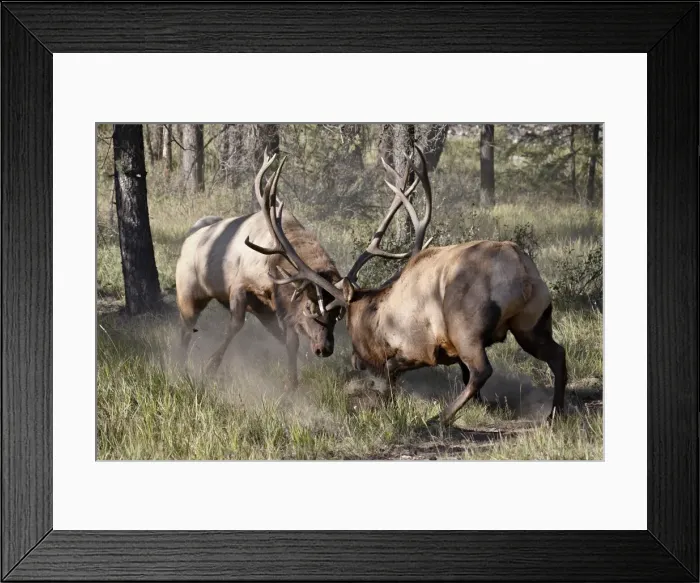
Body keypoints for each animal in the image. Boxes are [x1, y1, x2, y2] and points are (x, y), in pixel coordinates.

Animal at [174, 151, 345, 388]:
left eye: (338, 315)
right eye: (310, 308)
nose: (325, 349)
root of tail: (188, 238)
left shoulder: (275, 305)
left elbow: (289, 340)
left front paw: (293, 380)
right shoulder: (240, 284)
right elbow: (235, 325)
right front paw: (210, 366)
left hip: (260, 310)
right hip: (188, 292)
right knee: (185, 330)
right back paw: (181, 369)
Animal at [246, 145, 568, 427]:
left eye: (345, 321)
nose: (355, 361)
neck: (378, 314)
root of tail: (520, 271)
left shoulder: (420, 347)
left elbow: (392, 373)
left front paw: (385, 404)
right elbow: (460, 375)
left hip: (467, 327)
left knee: (482, 370)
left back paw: (439, 417)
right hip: (533, 321)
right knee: (557, 355)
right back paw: (554, 413)